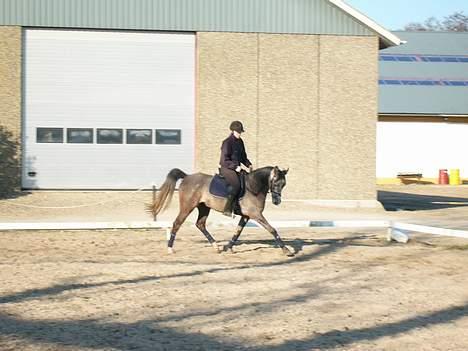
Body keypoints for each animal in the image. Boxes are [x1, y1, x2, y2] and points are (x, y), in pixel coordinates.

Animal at [147, 166, 292, 258]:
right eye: (275, 182)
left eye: (284, 184)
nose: (277, 201)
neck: (253, 187)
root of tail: (187, 177)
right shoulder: (255, 214)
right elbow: (272, 229)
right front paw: (286, 250)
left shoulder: (246, 216)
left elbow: (238, 232)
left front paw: (229, 247)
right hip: (187, 207)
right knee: (177, 223)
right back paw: (170, 249)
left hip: (204, 208)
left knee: (200, 224)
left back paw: (216, 246)